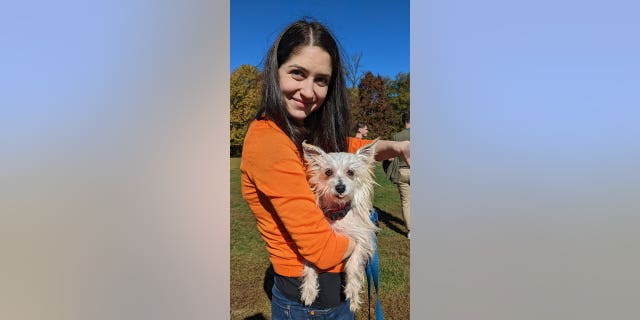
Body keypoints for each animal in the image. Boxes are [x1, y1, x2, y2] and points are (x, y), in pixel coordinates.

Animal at [302, 139, 380, 312]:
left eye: (350, 172)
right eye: (328, 172)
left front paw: (353, 294)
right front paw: (309, 289)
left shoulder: (362, 240)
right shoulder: (317, 243)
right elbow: (310, 264)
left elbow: (352, 265)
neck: (337, 213)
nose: (340, 187)